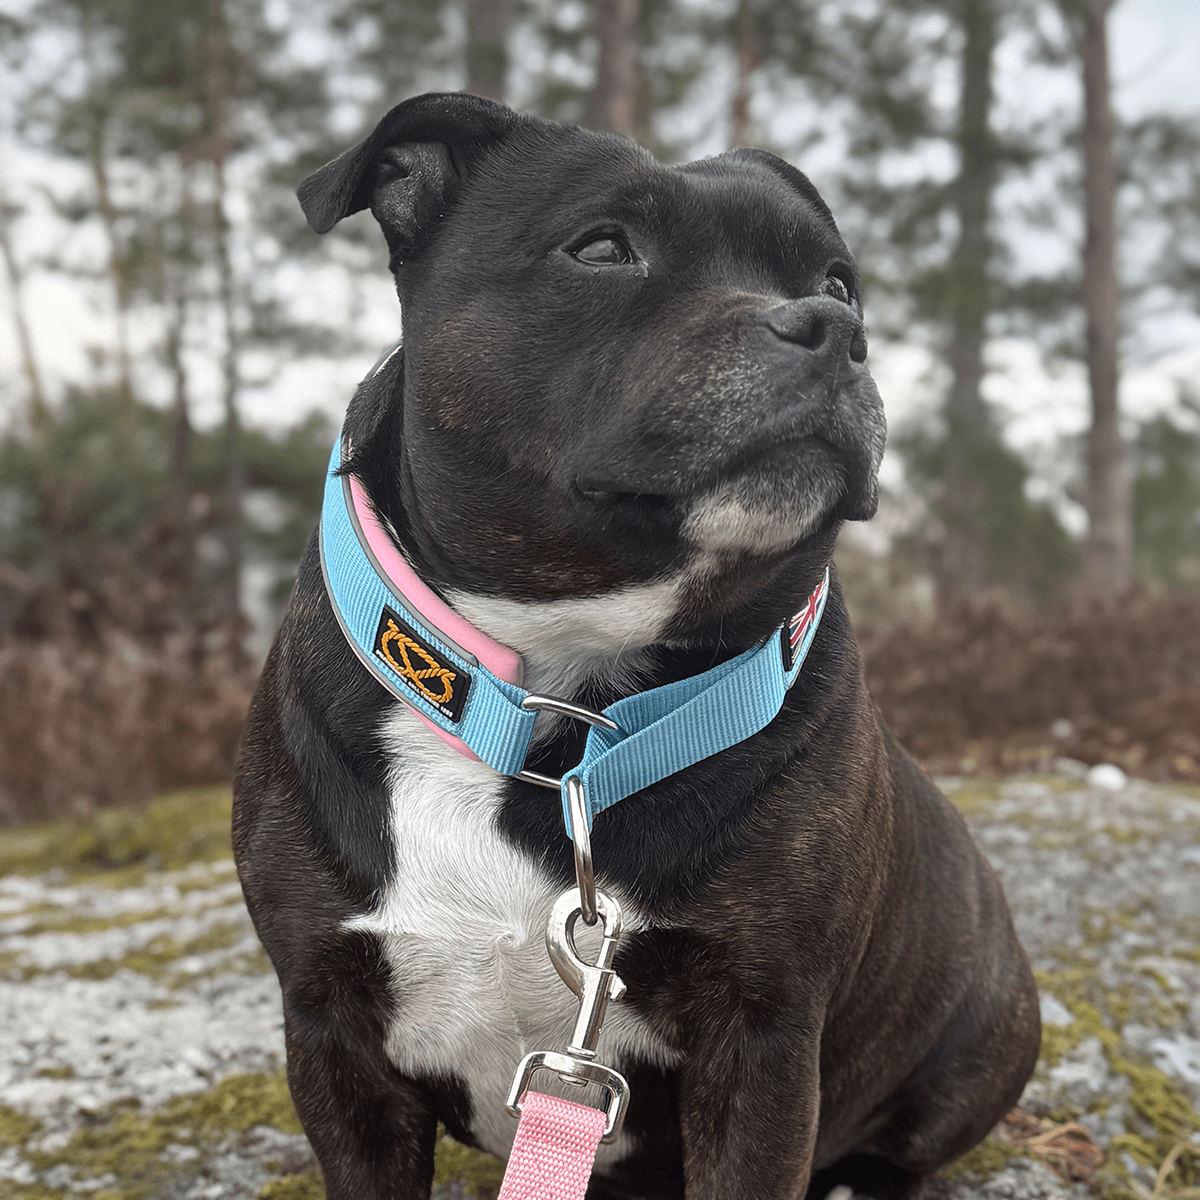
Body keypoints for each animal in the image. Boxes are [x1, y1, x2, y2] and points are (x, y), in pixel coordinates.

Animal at [234, 93, 1041, 1200]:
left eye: (838, 282)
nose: (833, 329)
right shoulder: (331, 1033)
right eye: (602, 248)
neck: (560, 712)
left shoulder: (760, 1041)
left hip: (990, 1040)